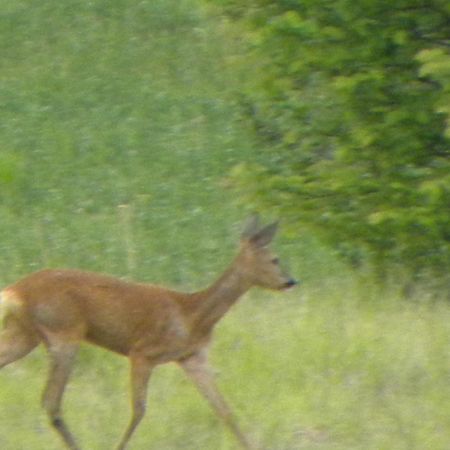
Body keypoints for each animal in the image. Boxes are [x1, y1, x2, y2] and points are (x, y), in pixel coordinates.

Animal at [0, 216, 298, 448]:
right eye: (275, 259)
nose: (290, 281)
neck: (192, 315)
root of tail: (16, 291)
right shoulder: (142, 352)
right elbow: (139, 410)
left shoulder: (193, 358)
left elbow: (224, 410)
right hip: (63, 332)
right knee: (51, 402)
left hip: (25, 335)